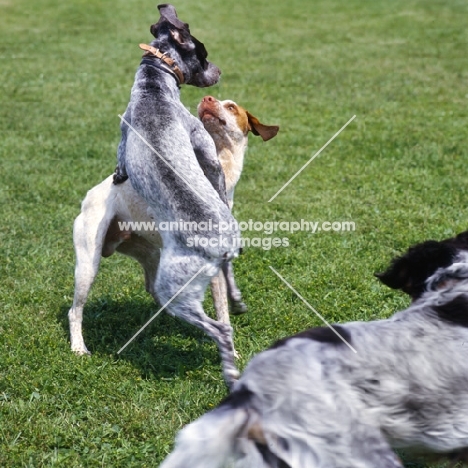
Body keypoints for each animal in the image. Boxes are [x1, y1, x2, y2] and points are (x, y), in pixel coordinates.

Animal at [66, 97, 278, 356]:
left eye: (231, 107)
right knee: (75, 311)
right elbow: (222, 312)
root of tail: (88, 196)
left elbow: (222, 308)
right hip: (88, 264)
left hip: (150, 253)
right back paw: (78, 348)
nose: (206, 99)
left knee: (155, 290)